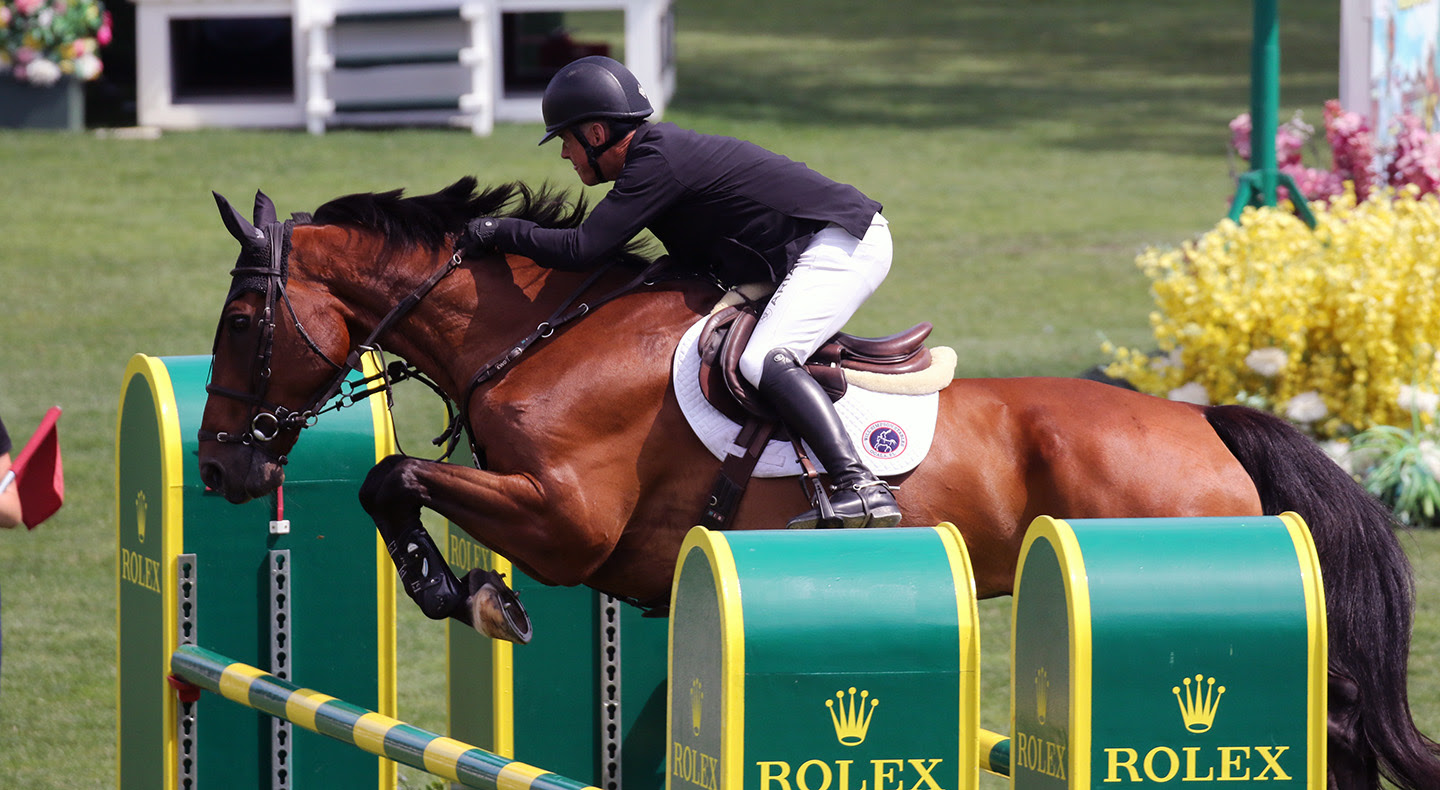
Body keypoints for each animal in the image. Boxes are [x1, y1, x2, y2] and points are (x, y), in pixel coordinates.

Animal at [196, 177, 1440, 790]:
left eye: (246, 318)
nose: (219, 464)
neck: (540, 336)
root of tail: (1207, 424)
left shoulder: (567, 525)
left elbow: (393, 476)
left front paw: (465, 593)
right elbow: (396, 481)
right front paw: (464, 590)